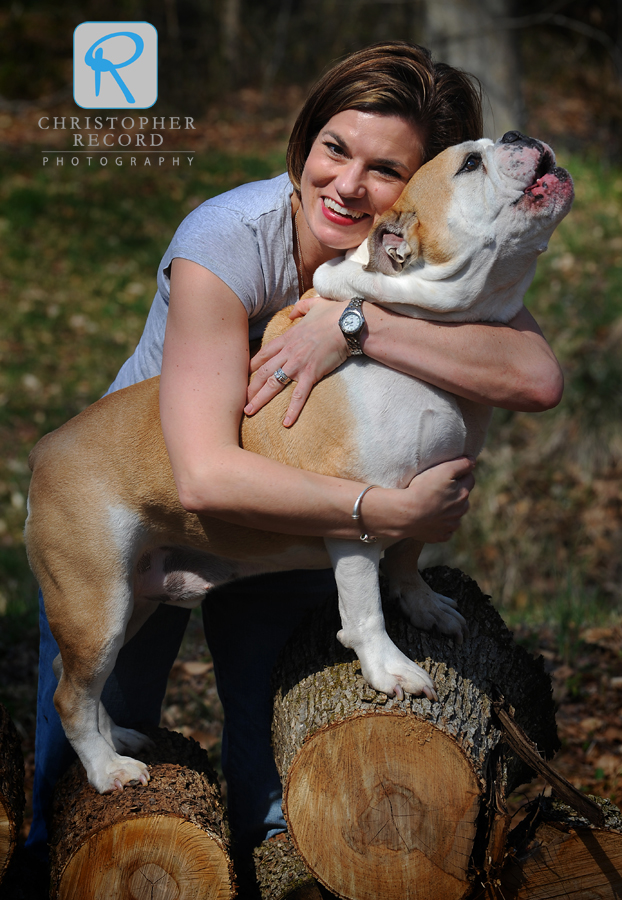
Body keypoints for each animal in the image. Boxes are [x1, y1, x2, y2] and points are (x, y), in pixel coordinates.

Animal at [25, 130, 576, 792]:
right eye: (470, 162)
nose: (522, 137)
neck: (425, 323)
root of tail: (46, 448)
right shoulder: (359, 509)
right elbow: (364, 608)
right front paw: (390, 668)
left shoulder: (431, 495)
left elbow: (408, 557)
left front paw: (423, 604)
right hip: (96, 603)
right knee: (70, 695)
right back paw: (109, 769)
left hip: (134, 598)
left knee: (81, 682)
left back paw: (120, 740)